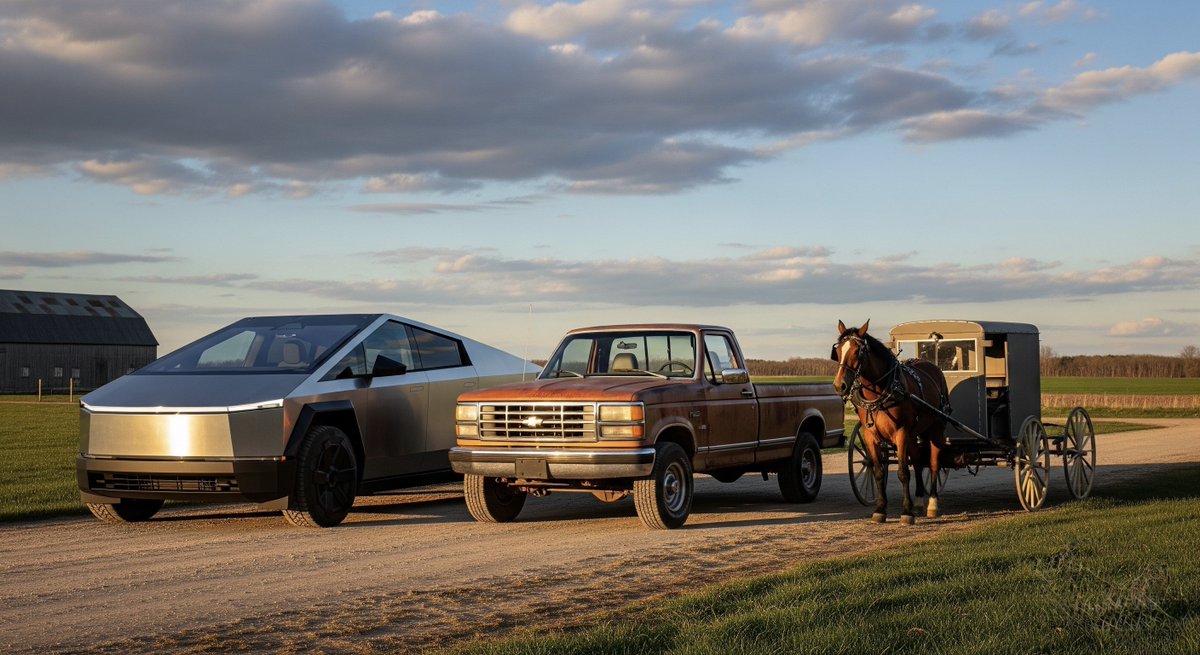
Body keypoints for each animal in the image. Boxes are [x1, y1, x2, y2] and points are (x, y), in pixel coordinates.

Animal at [832, 320, 950, 525]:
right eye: (838, 351)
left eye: (857, 351)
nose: (840, 385)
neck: (881, 393)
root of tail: (934, 367)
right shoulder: (870, 436)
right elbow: (878, 471)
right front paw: (880, 509)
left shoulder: (901, 433)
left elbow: (903, 472)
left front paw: (906, 512)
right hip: (913, 434)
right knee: (918, 462)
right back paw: (919, 499)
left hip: (935, 429)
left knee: (934, 463)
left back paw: (932, 504)